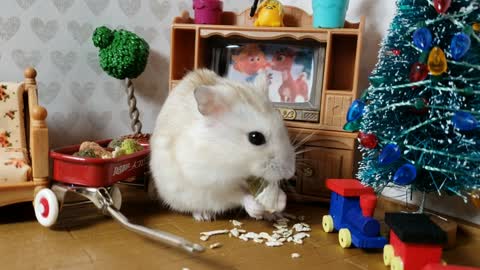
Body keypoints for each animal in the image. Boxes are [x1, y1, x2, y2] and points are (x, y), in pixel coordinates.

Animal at [148, 69, 294, 221]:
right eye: (255, 138)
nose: (291, 173)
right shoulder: (212, 182)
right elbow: (239, 195)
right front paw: (257, 210)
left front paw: (281, 200)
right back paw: (204, 216)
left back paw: (275, 215)